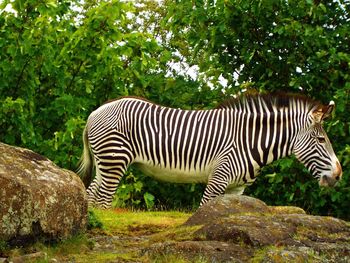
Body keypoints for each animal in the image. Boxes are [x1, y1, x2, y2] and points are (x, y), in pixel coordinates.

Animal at [78, 94, 344, 209]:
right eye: (321, 139)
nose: (339, 175)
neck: (250, 140)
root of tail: (95, 112)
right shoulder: (218, 178)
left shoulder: (237, 188)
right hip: (115, 161)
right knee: (102, 200)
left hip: (105, 163)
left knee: (90, 195)